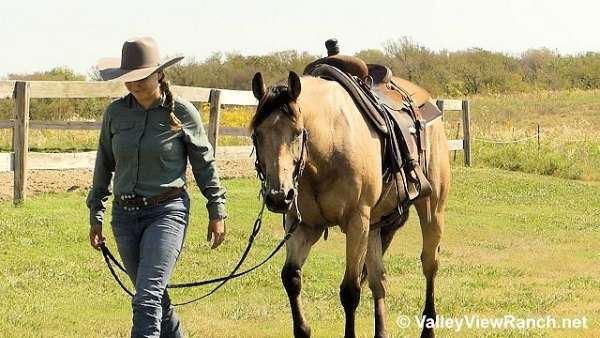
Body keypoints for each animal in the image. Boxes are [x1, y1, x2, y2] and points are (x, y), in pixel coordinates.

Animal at [248, 48, 450, 338]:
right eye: (256, 135)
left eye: (298, 133)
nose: (278, 195)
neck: (327, 148)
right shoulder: (303, 225)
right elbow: (291, 277)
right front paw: (303, 328)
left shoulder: (356, 222)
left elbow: (350, 291)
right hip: (375, 226)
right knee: (378, 280)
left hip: (431, 210)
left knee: (429, 265)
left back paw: (428, 329)